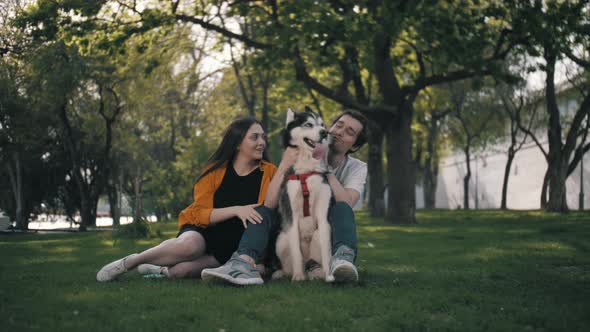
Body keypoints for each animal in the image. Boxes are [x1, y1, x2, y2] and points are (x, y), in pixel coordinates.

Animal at [276, 106, 336, 282]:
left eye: (322, 125)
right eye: (308, 124)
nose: (325, 132)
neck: (307, 171)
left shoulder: (324, 216)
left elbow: (327, 252)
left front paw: (329, 275)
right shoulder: (291, 215)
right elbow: (296, 251)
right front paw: (297, 276)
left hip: (316, 236)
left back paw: (318, 274)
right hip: (281, 240)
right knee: (289, 264)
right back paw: (286, 273)